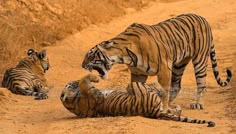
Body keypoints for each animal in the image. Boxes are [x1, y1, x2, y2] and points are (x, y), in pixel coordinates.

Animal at [59, 74, 216, 127]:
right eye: (70, 84)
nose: (72, 81)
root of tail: (155, 113)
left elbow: (83, 80)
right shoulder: (95, 94)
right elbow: (84, 80)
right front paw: (94, 78)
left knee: (174, 109)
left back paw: (174, 106)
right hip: (134, 85)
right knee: (153, 89)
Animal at [82, 13, 232, 111]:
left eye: (90, 55)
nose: (82, 65)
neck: (124, 55)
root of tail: (203, 18)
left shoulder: (164, 69)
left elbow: (164, 89)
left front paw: (163, 108)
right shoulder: (138, 74)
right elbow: (136, 89)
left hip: (199, 59)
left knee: (201, 84)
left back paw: (197, 104)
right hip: (179, 64)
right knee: (177, 85)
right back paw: (172, 104)